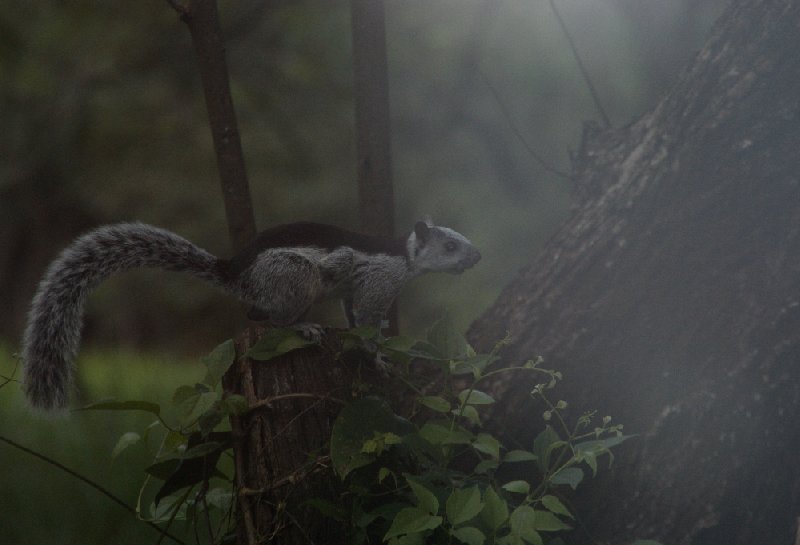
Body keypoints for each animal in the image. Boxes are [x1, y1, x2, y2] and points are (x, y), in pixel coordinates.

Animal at [20, 217, 482, 408]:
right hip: (296, 277)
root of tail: (236, 273)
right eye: (450, 246)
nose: (478, 256)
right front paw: (380, 357)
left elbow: (353, 315)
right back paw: (305, 326)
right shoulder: (378, 283)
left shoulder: (355, 291)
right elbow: (368, 323)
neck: (404, 257)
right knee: (272, 318)